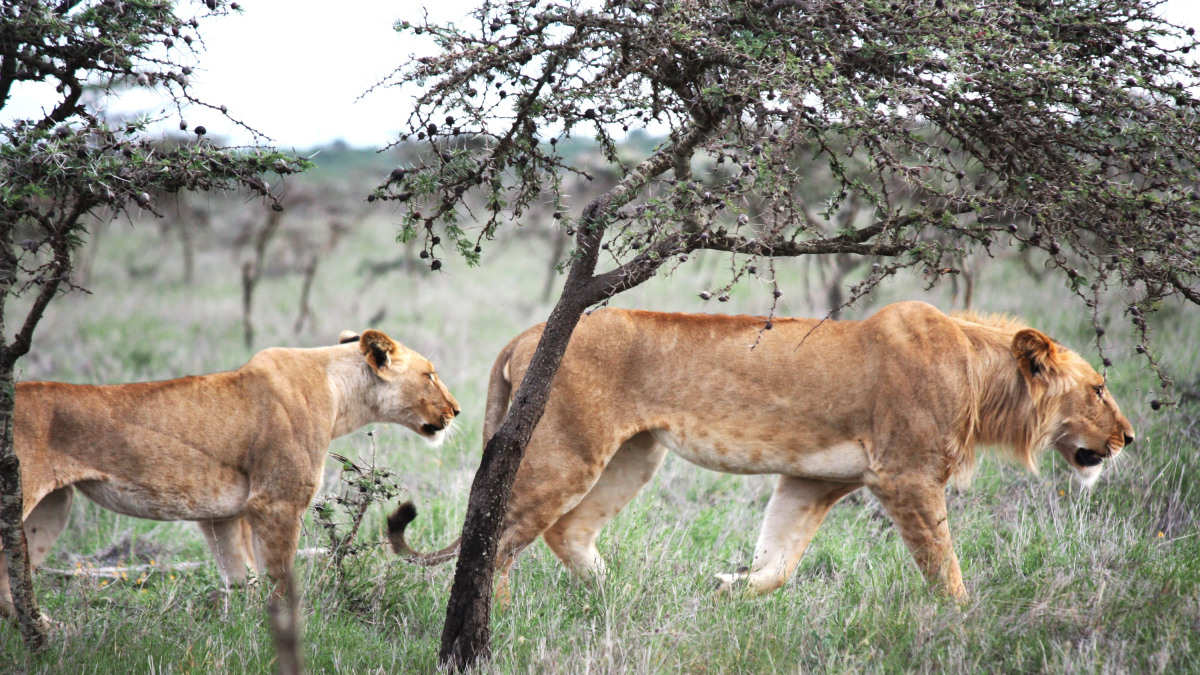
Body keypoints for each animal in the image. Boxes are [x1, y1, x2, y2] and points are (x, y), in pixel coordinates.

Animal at [1, 329, 459, 622]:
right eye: (430, 374)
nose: (455, 410)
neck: (340, 393)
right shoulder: (276, 504)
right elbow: (279, 580)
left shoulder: (222, 514)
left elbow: (242, 581)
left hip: (53, 508)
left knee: (12, 589)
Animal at [390, 301, 1134, 603]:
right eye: (1099, 389)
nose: (1130, 437)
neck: (982, 380)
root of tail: (527, 334)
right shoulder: (907, 477)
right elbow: (943, 564)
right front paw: (964, 622)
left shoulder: (813, 481)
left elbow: (780, 560)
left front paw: (727, 588)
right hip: (567, 451)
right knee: (496, 537)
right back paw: (492, 625)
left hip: (636, 455)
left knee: (565, 531)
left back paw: (618, 593)